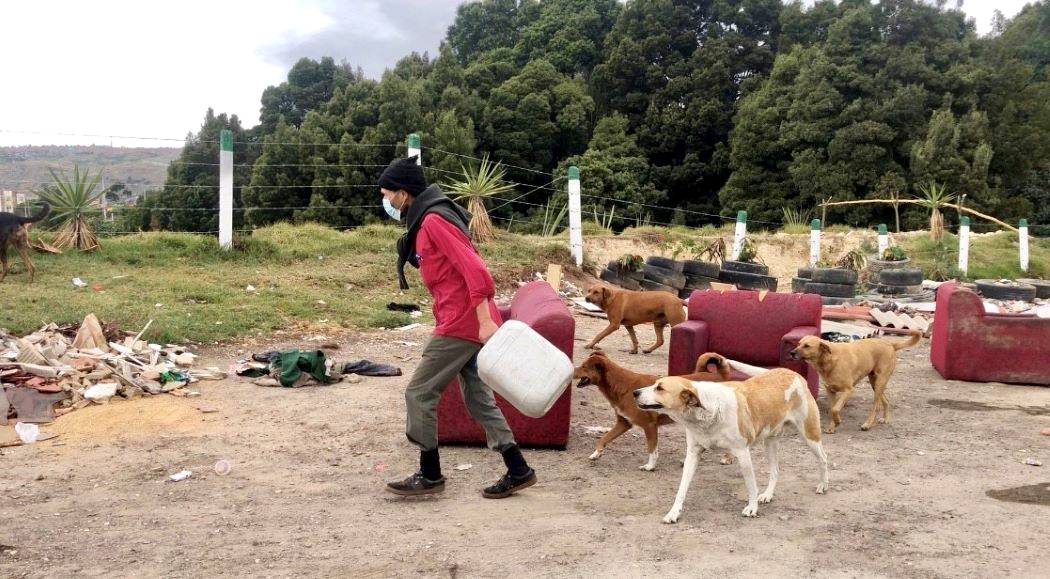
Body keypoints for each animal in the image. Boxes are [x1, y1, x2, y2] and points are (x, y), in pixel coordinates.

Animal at [579, 353, 760, 470]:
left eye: (583, 367)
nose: (574, 369)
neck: (623, 386)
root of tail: (721, 376)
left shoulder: (649, 426)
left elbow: (652, 449)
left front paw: (650, 466)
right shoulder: (623, 423)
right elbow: (604, 438)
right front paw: (596, 454)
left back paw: (728, 458)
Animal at [630, 371, 827, 525]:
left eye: (660, 388)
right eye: (655, 384)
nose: (635, 392)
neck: (706, 413)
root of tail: (794, 374)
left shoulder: (743, 453)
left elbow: (751, 485)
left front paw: (752, 508)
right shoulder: (693, 454)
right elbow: (682, 488)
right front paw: (673, 513)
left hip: (809, 435)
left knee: (823, 458)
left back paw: (823, 485)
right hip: (770, 441)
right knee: (775, 470)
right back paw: (768, 495)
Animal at [789, 332, 919, 432]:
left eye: (807, 346)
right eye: (799, 343)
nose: (791, 352)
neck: (828, 360)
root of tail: (890, 344)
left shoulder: (849, 390)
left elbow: (835, 409)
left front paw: (838, 421)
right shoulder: (830, 391)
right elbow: (832, 409)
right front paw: (832, 427)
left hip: (880, 382)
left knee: (876, 406)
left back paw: (867, 424)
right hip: (874, 383)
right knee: (886, 401)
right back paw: (886, 419)